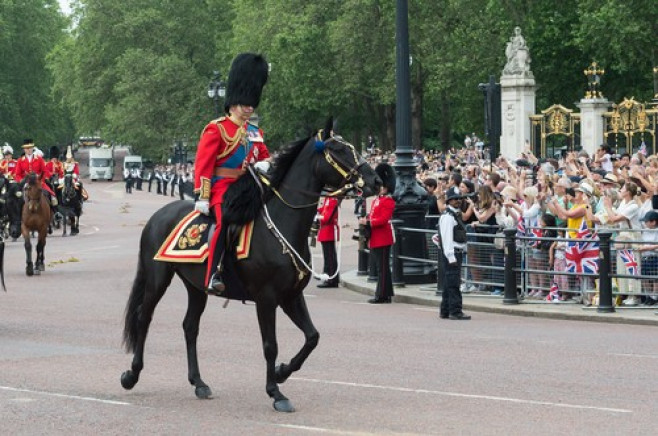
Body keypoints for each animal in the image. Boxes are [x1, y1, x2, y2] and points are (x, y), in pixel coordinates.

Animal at [120, 127, 380, 412]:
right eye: (339, 150)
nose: (376, 180)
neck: (283, 223)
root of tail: (157, 216)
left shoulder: (291, 296)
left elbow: (312, 336)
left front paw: (282, 372)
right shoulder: (266, 298)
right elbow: (270, 345)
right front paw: (276, 393)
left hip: (196, 286)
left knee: (190, 326)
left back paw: (199, 383)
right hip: (158, 278)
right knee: (144, 318)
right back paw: (132, 375)